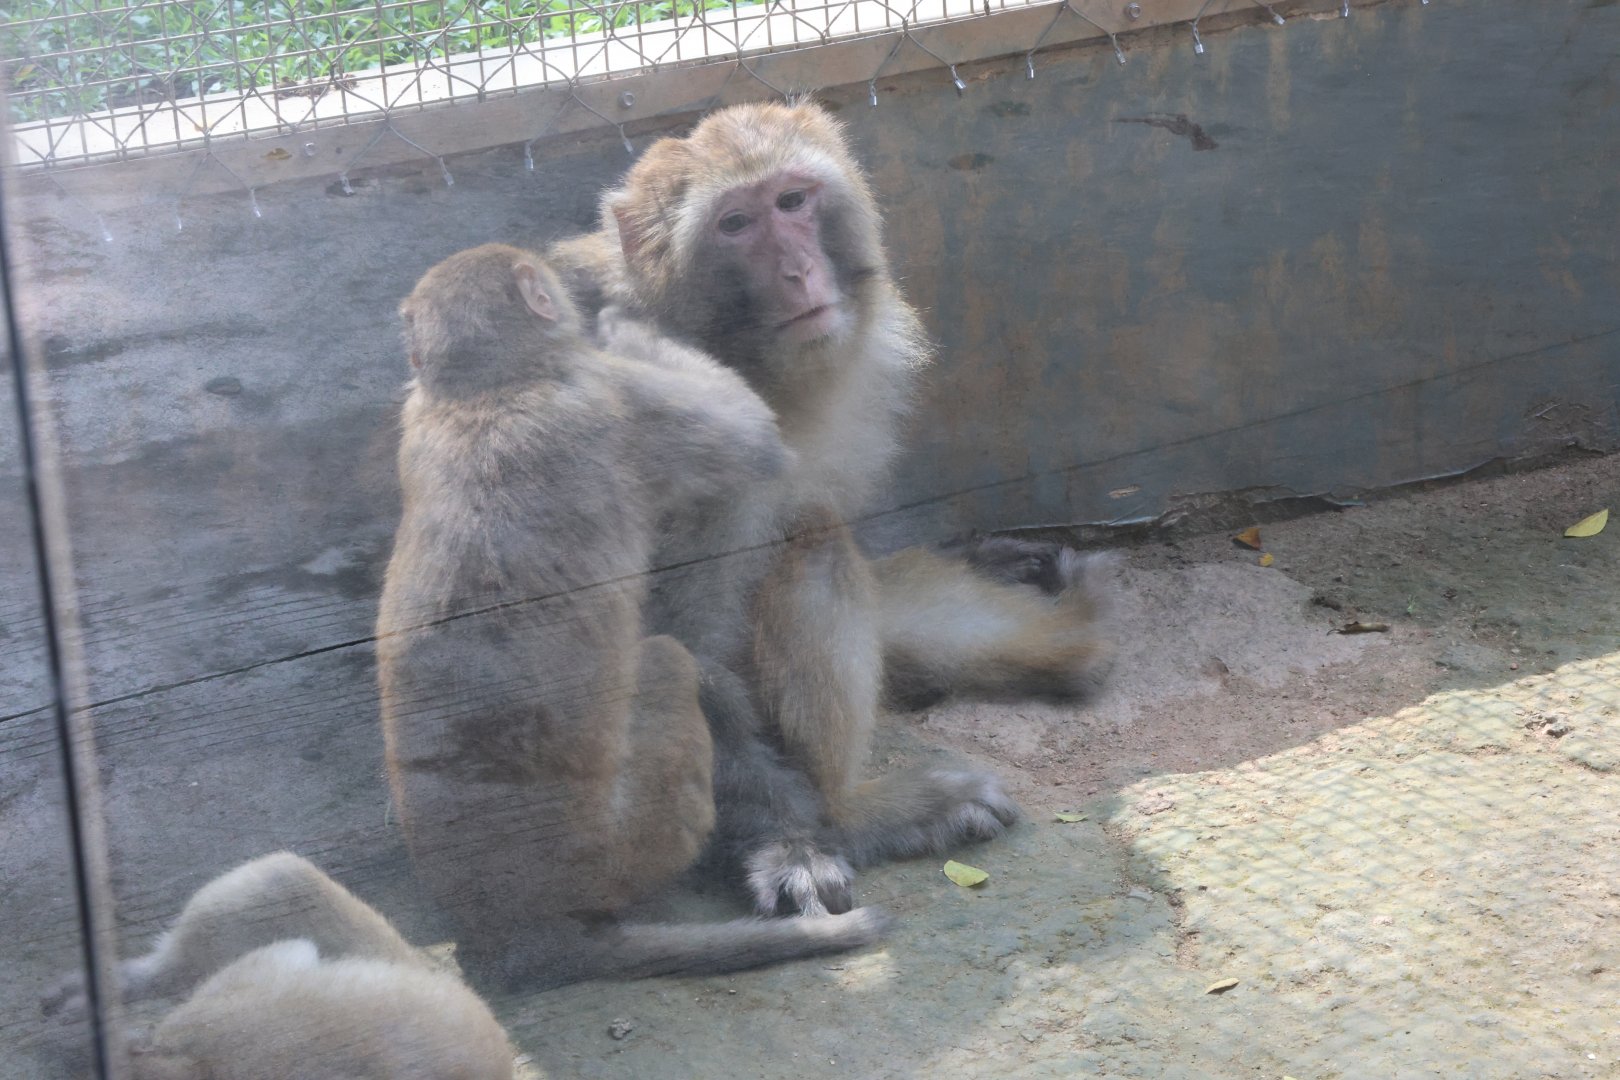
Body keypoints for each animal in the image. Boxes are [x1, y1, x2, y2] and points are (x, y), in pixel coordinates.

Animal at [377, 242, 889, 990]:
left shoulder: (416, 414)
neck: (486, 385)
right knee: (668, 661)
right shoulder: (618, 397)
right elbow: (751, 436)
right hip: (621, 847)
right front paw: (622, 319)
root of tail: (513, 925)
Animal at [547, 101, 1113, 916]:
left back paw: (1070, 633)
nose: (798, 270)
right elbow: (673, 645)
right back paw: (860, 812)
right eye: (735, 224)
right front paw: (789, 843)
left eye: (793, 201)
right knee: (811, 541)